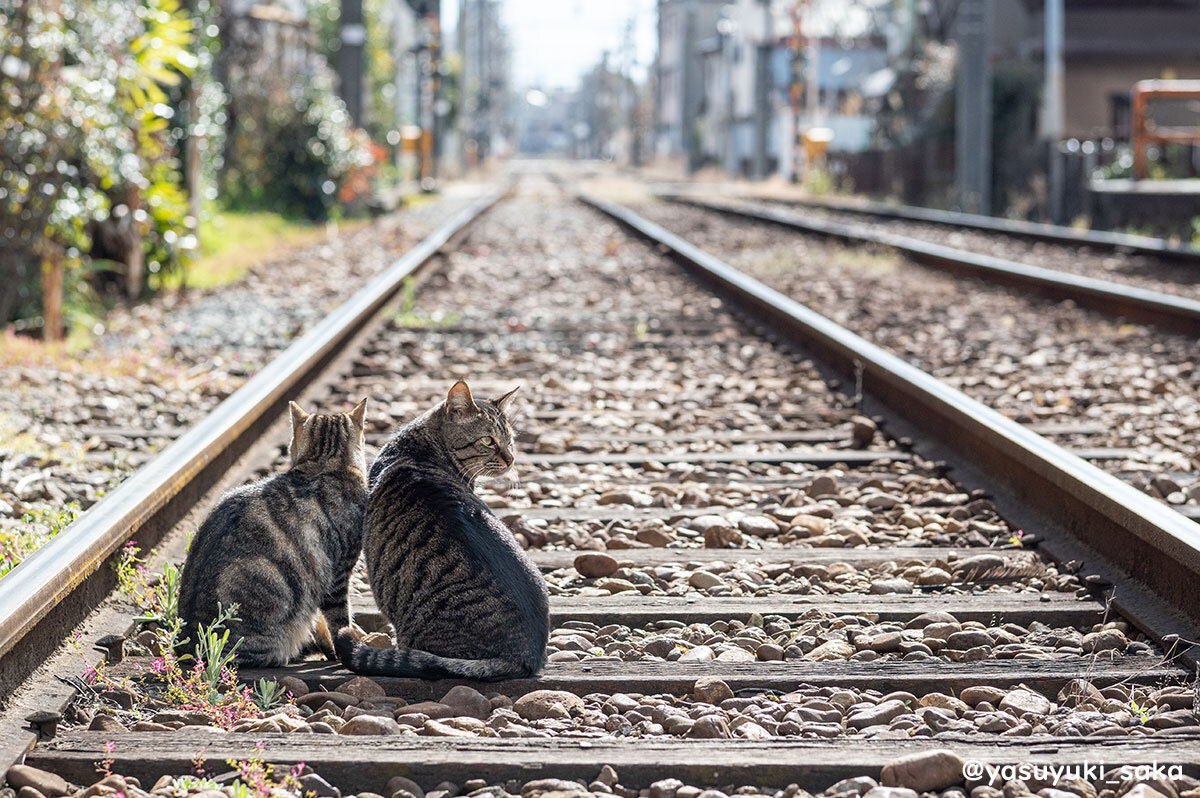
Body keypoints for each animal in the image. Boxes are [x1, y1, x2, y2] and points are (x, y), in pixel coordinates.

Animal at [175, 398, 367, 667]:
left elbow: (320, 621)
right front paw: (344, 649)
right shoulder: (338, 574)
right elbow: (338, 620)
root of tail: (191, 648)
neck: (324, 465)